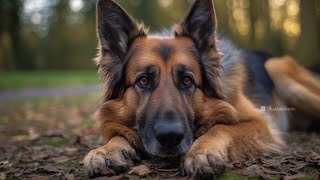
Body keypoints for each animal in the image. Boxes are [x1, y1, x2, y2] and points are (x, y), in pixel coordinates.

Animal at [83, 0, 320, 179]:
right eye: (143, 81)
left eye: (187, 80)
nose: (170, 137)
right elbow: (119, 133)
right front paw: (106, 150)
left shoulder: (260, 123)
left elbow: (221, 127)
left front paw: (201, 151)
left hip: (276, 67)